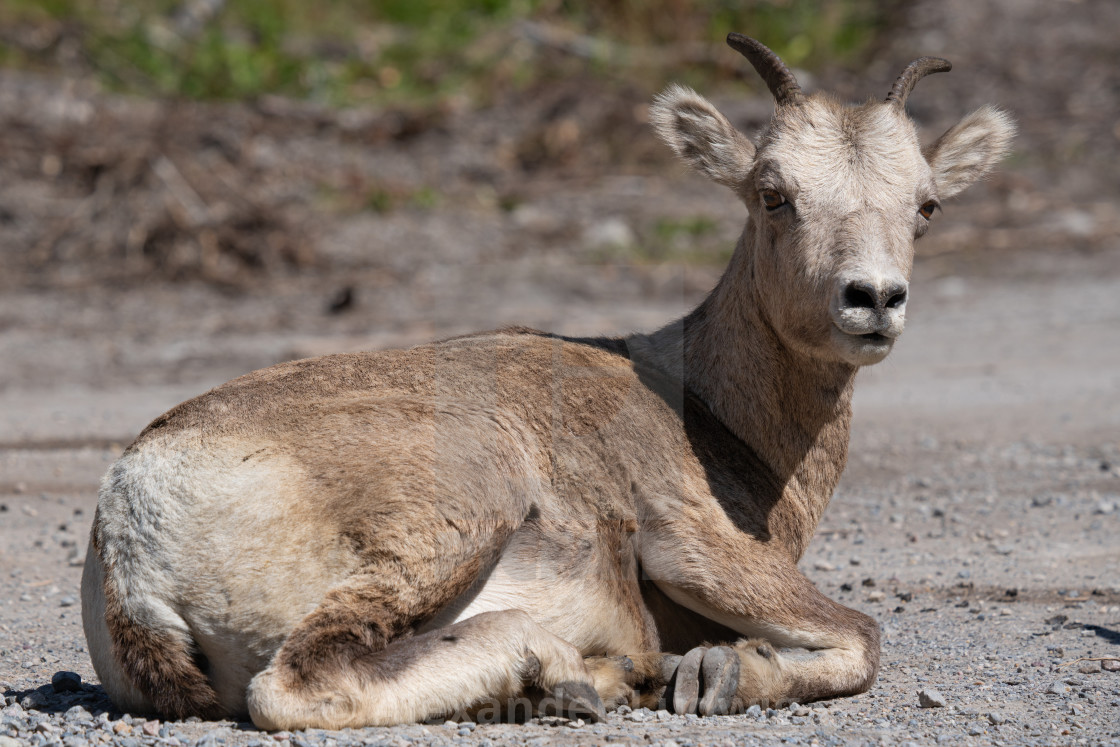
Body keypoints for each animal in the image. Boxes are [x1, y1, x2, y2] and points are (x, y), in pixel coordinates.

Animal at [82, 34, 1021, 730]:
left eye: (926, 205)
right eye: (772, 192)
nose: (873, 299)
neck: (702, 407)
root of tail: (138, 523)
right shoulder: (696, 546)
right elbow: (862, 636)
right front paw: (710, 673)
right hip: (458, 512)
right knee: (297, 686)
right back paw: (579, 675)